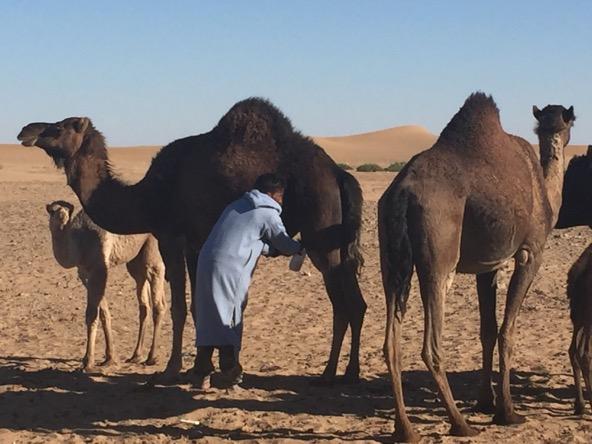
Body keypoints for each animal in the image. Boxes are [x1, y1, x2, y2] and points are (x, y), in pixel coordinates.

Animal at [45, 199, 166, 370]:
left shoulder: (100, 269)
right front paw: (110, 358)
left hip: (152, 248)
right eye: (52, 211)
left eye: (68, 212)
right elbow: (103, 313)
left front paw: (88, 362)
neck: (80, 241)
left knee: (158, 301)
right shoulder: (84, 273)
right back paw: (136, 355)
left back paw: (152, 357)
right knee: (144, 303)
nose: (62, 219)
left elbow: (91, 314)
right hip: (135, 262)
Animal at [376, 92, 576, 442]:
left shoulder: (488, 266)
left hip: (391, 258)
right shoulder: (530, 253)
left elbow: (487, 331)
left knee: (391, 342)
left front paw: (486, 402)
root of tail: (401, 192)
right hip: (439, 256)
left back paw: (406, 429)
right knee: (431, 346)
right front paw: (507, 412)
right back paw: (459, 423)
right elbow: (507, 332)